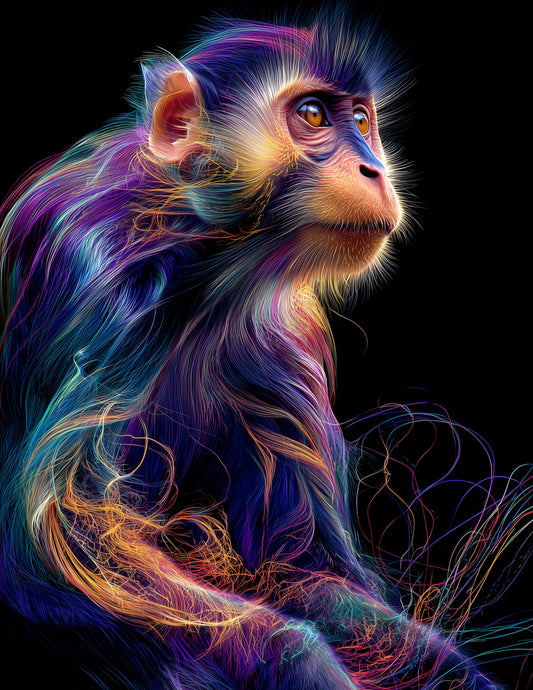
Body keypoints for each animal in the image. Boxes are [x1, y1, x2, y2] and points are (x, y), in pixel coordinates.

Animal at [0, 8, 525, 689]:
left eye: (362, 121)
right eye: (312, 115)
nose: (375, 171)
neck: (202, 274)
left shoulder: (272, 343)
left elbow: (293, 567)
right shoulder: (104, 290)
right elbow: (71, 538)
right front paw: (305, 660)